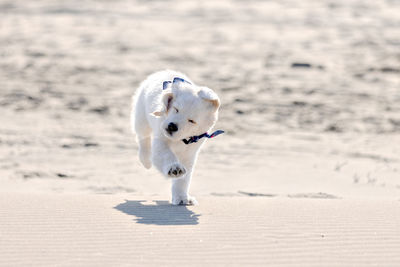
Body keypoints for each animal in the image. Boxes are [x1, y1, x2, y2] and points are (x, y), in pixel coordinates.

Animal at [131, 70, 222, 206]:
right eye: (176, 109)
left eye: (191, 121)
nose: (172, 126)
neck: (182, 140)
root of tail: (163, 71)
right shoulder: (161, 140)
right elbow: (165, 155)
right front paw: (174, 168)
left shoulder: (190, 152)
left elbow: (184, 179)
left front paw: (182, 198)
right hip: (141, 116)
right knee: (143, 137)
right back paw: (145, 159)